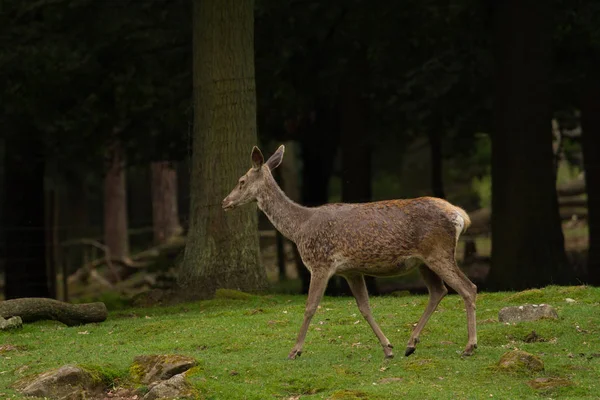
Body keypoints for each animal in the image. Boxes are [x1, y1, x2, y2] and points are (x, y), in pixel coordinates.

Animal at [221, 144, 478, 360]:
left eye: (241, 180)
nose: (225, 201)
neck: (299, 228)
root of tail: (461, 216)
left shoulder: (320, 263)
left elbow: (310, 306)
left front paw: (295, 351)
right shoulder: (351, 271)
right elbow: (364, 307)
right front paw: (387, 348)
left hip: (438, 252)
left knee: (468, 287)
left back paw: (469, 346)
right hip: (423, 261)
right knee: (438, 291)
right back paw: (410, 344)